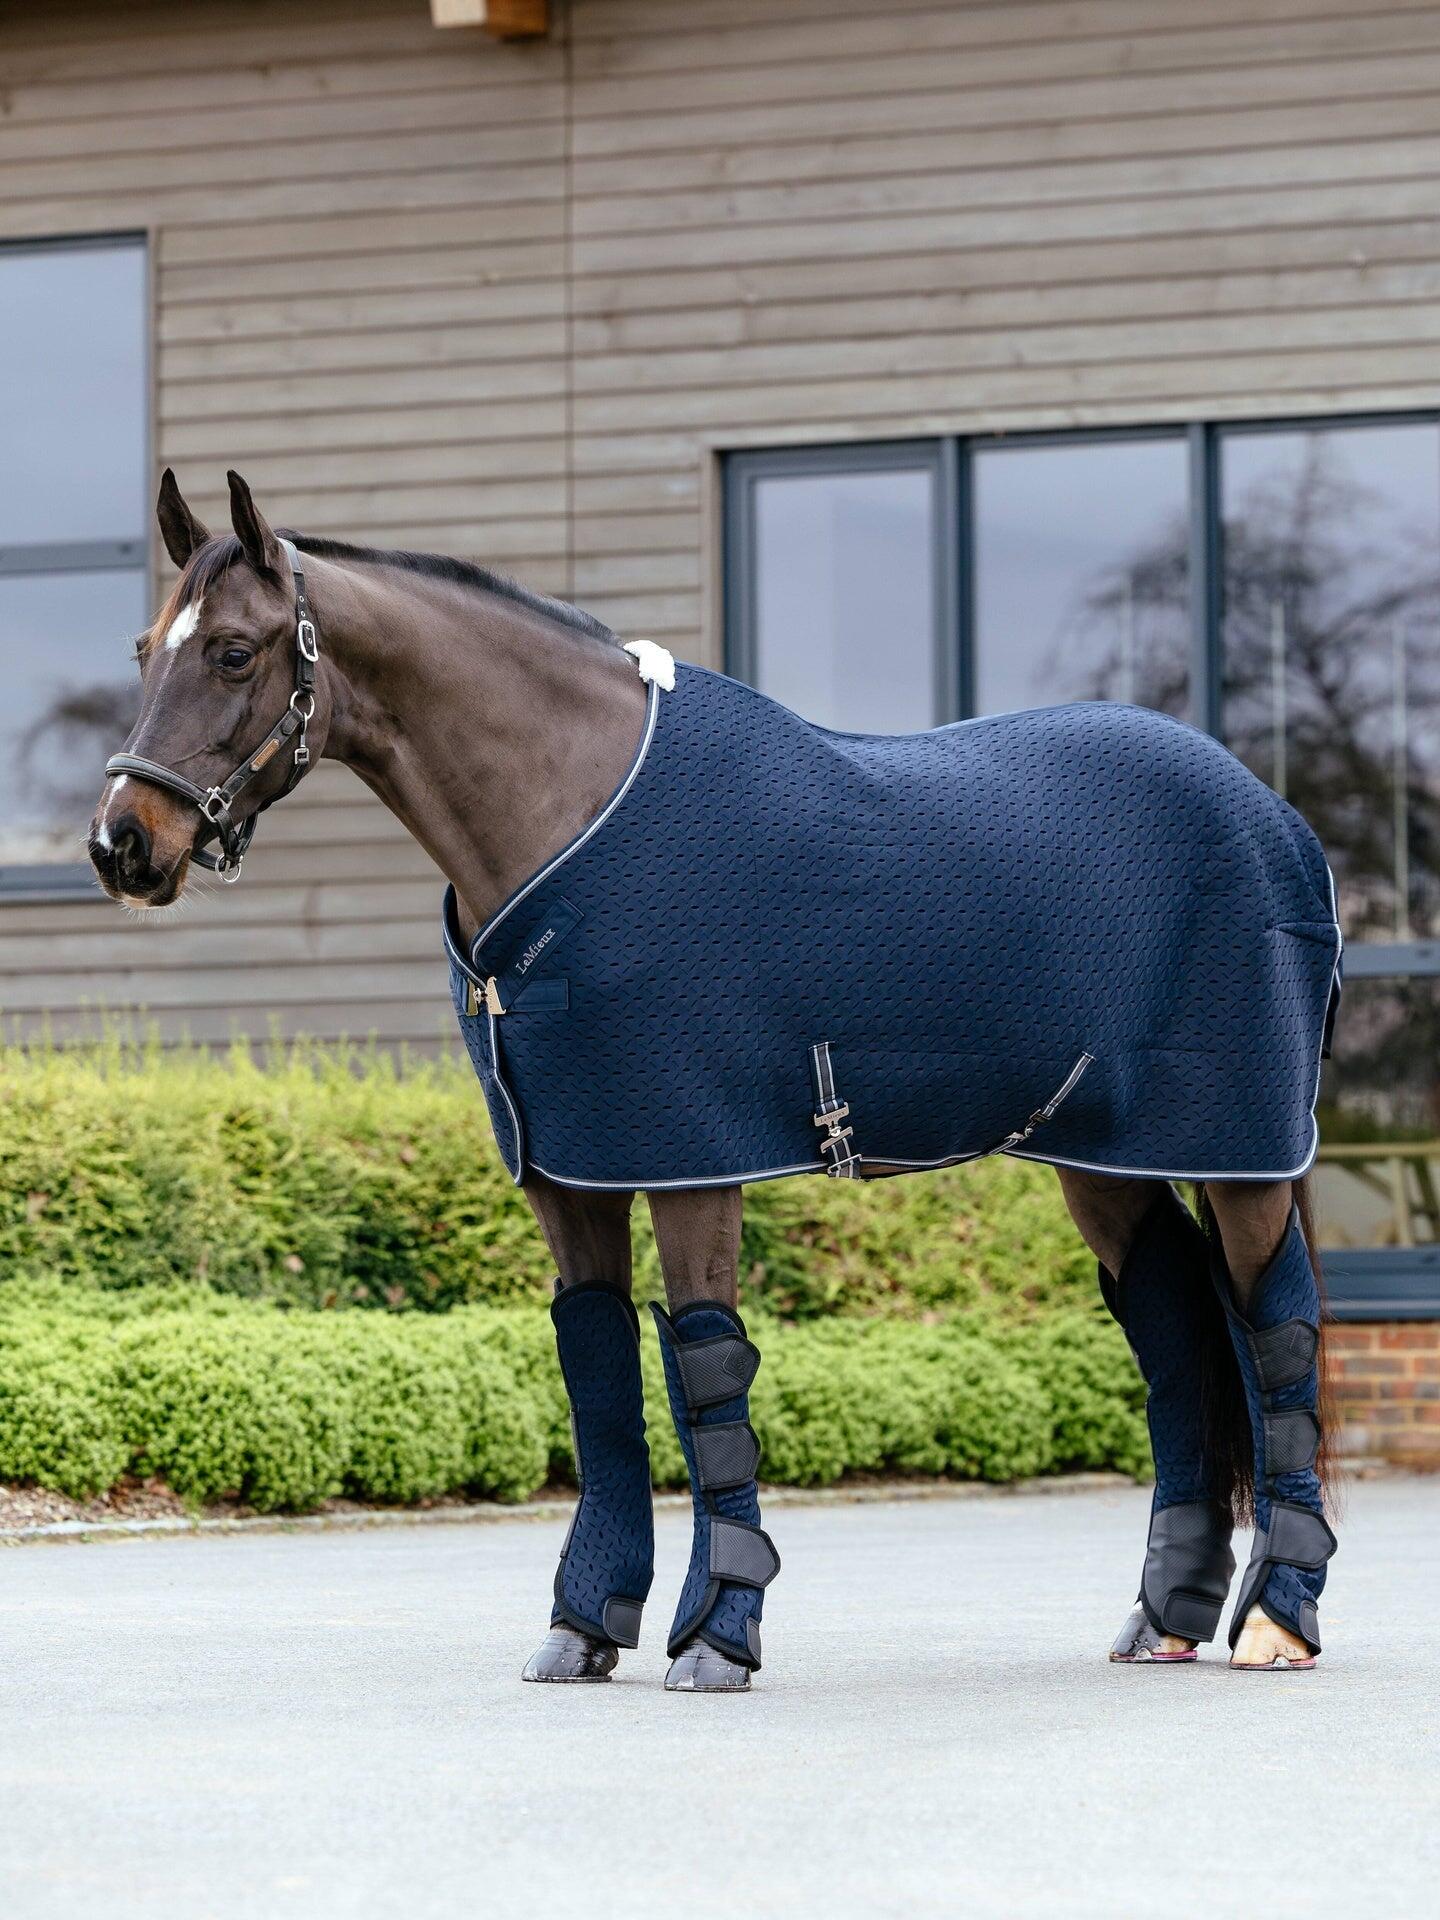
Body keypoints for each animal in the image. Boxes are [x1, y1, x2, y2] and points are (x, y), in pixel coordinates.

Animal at [89, 470, 1340, 1690]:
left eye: (234, 652)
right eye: (145, 648)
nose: (123, 844)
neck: (574, 814)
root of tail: (1275, 816)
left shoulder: (692, 1154)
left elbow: (704, 1370)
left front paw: (719, 1629)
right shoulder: (573, 1171)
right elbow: (597, 1373)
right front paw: (583, 1627)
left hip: (1244, 1151)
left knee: (1274, 1325)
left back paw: (1279, 1620)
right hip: (1106, 1155)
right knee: (1172, 1327)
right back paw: (1165, 1615)